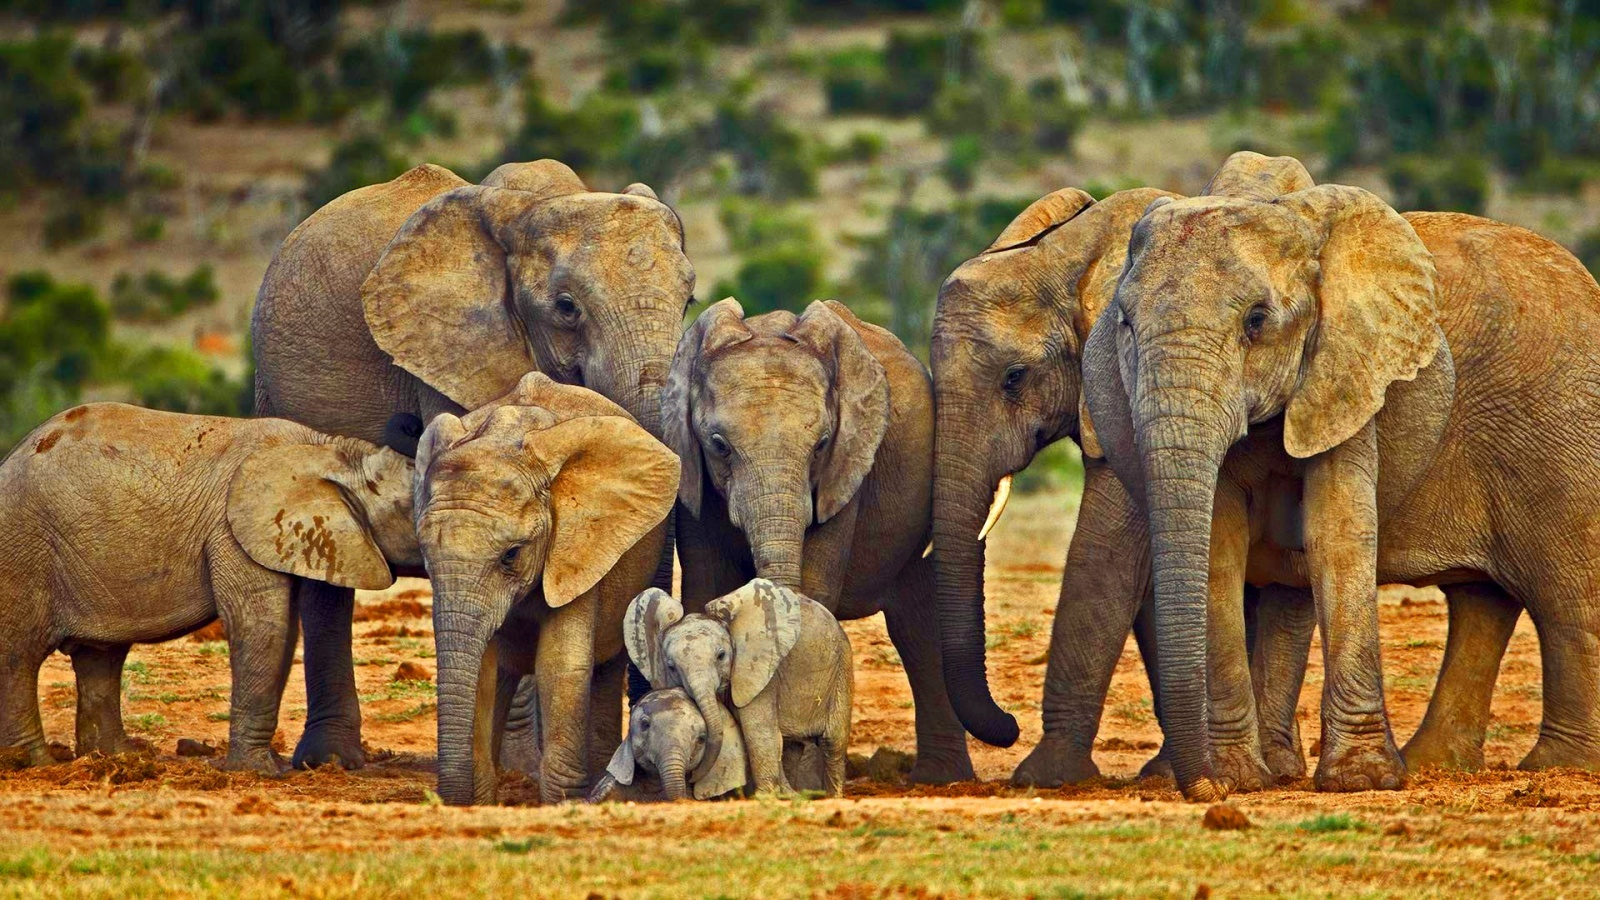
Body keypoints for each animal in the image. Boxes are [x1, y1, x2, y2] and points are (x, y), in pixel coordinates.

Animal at [0, 403, 419, 772]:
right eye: (411, 509)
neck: (337, 452)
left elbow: (282, 631)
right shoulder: (232, 533)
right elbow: (261, 625)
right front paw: (261, 772)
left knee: (100, 656)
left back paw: (117, 759)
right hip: (23, 549)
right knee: (19, 656)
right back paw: (34, 765)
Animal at [410, 372, 678, 805]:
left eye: (512, 554)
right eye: (424, 553)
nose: (444, 799)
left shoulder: (578, 547)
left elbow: (559, 665)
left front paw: (562, 804)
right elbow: (482, 669)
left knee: (604, 670)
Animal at [625, 581, 853, 796]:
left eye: (721, 656)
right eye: (671, 666)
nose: (693, 777)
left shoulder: (760, 670)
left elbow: (757, 728)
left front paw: (763, 797)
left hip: (842, 665)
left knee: (832, 742)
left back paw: (831, 796)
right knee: (790, 743)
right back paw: (790, 793)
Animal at [663, 297, 971, 783]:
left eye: (822, 444)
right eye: (718, 445)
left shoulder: (845, 475)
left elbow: (815, 584)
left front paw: (801, 778)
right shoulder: (692, 478)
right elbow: (705, 584)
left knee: (917, 626)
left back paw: (940, 779)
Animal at [1081, 158, 1600, 800]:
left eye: (1257, 321)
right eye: (1125, 324)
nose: (1206, 790)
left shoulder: (1350, 370)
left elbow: (1337, 532)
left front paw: (1361, 780)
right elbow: (1220, 545)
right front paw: (1243, 778)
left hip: (1559, 425)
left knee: (1566, 591)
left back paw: (1559, 767)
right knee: (1484, 600)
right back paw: (1435, 765)